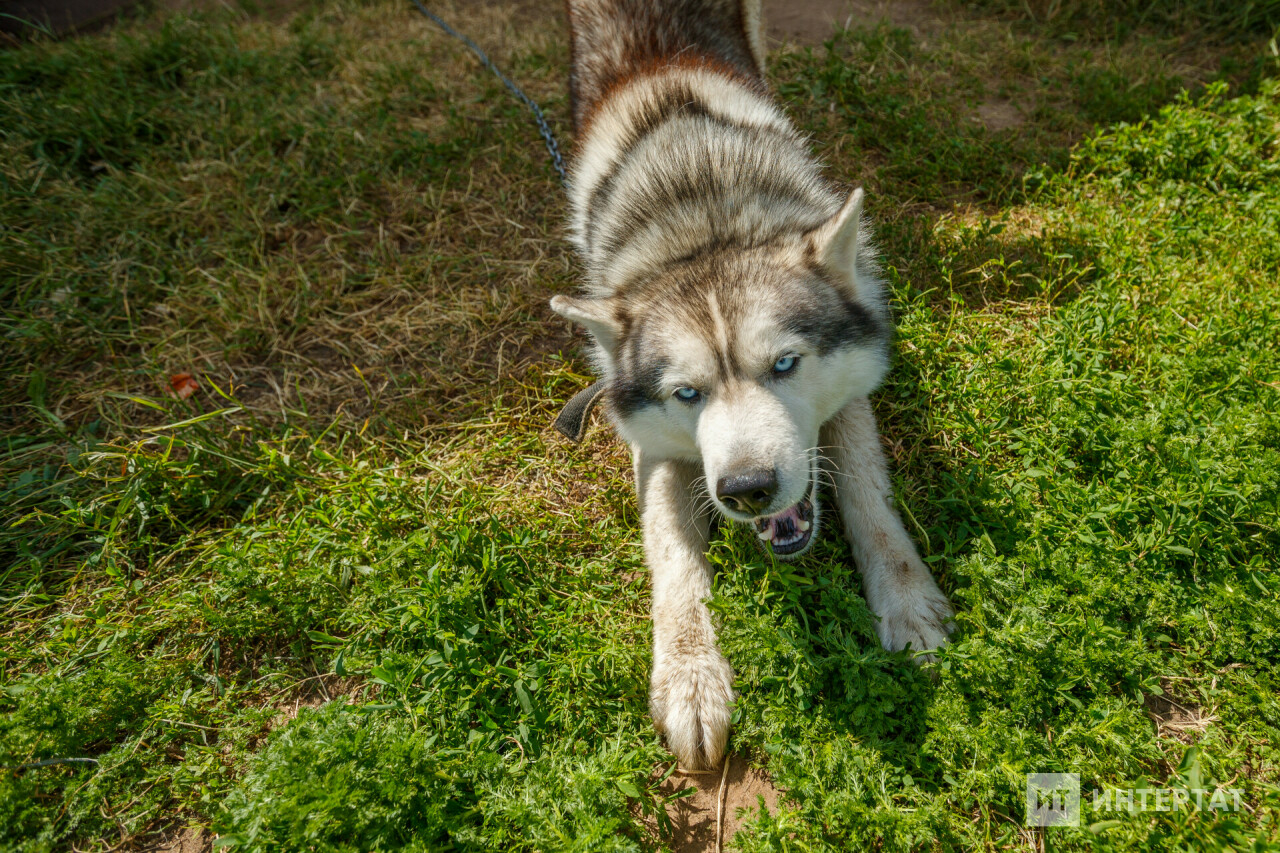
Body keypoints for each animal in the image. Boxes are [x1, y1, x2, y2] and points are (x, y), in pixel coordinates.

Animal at [550, 0, 952, 768]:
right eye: (688, 394)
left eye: (785, 364)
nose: (747, 489)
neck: (705, 224)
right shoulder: (658, 450)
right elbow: (674, 561)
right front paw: (690, 678)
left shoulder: (850, 397)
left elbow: (868, 496)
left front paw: (906, 600)